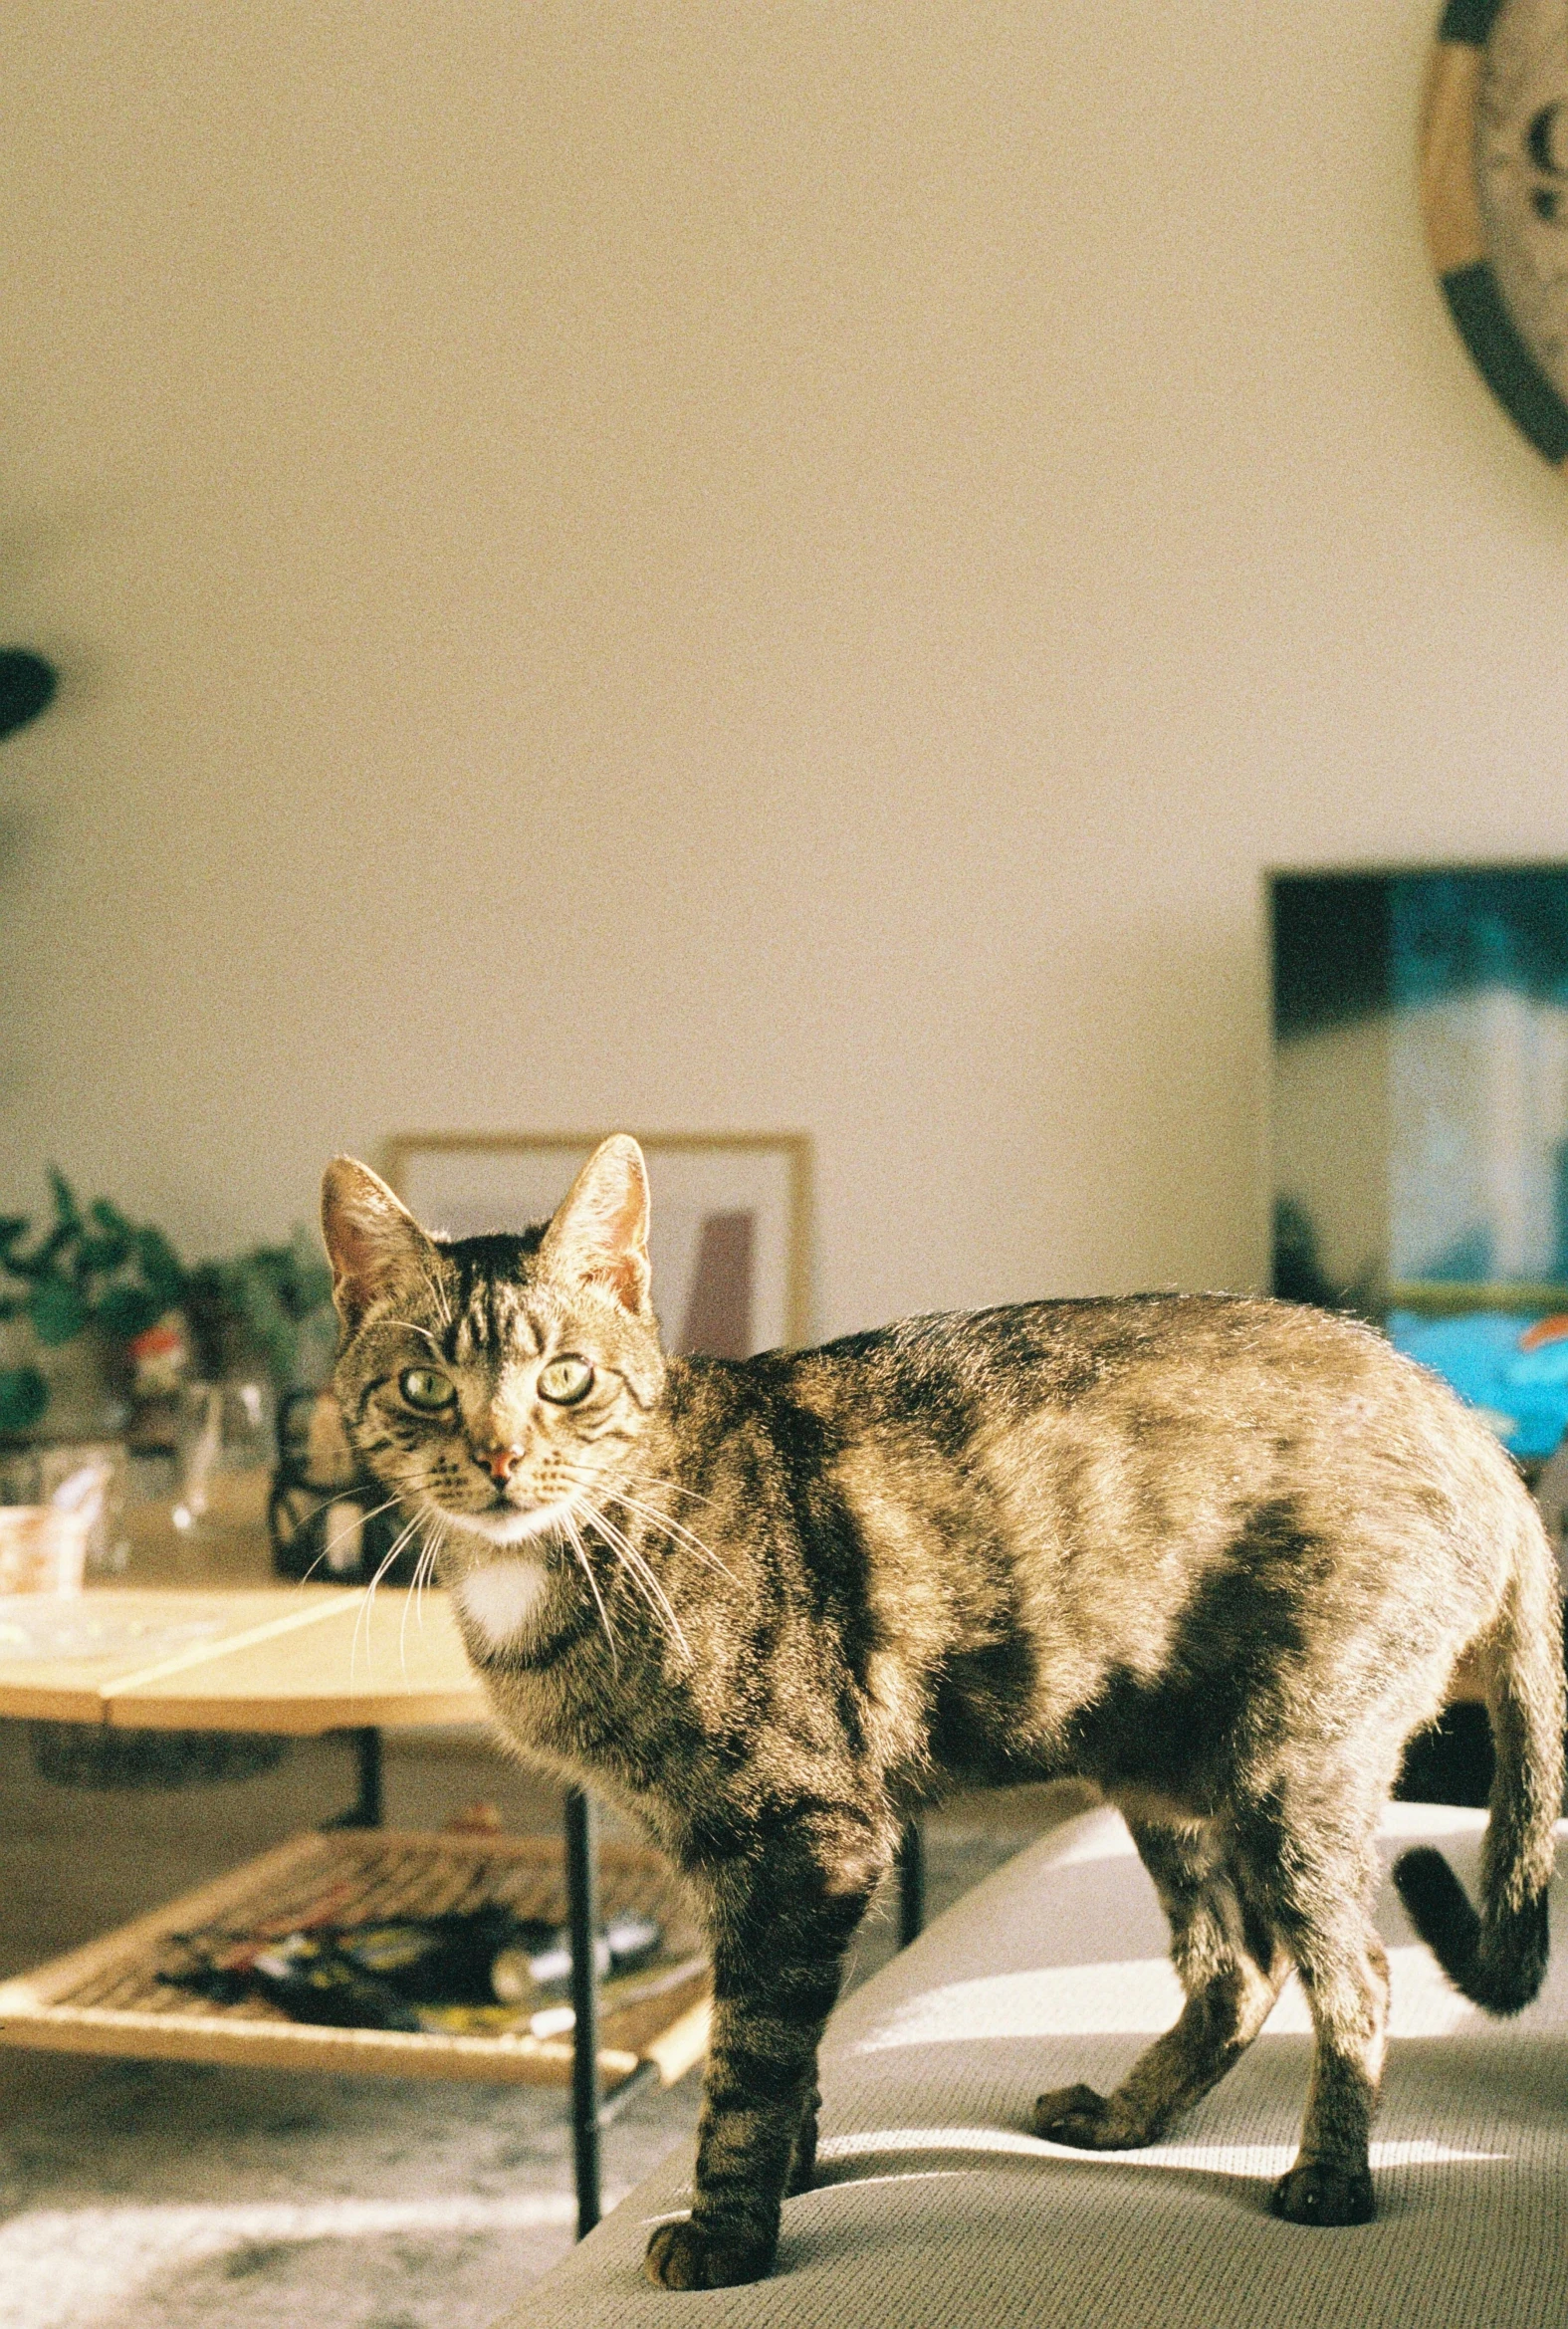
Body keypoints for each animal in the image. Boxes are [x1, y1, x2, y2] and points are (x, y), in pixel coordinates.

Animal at [321, 1145, 1565, 2291]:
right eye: (425, 1386)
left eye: (566, 1377)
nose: (499, 1455)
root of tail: (1477, 1434)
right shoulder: (728, 1850)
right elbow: (778, 2044)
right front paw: (794, 2171)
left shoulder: (804, 1833)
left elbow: (751, 2052)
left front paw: (731, 2228)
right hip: (1164, 1773)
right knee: (1238, 1964)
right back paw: (1125, 2115)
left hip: (1294, 1764)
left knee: (1357, 1971)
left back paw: (1330, 2176)